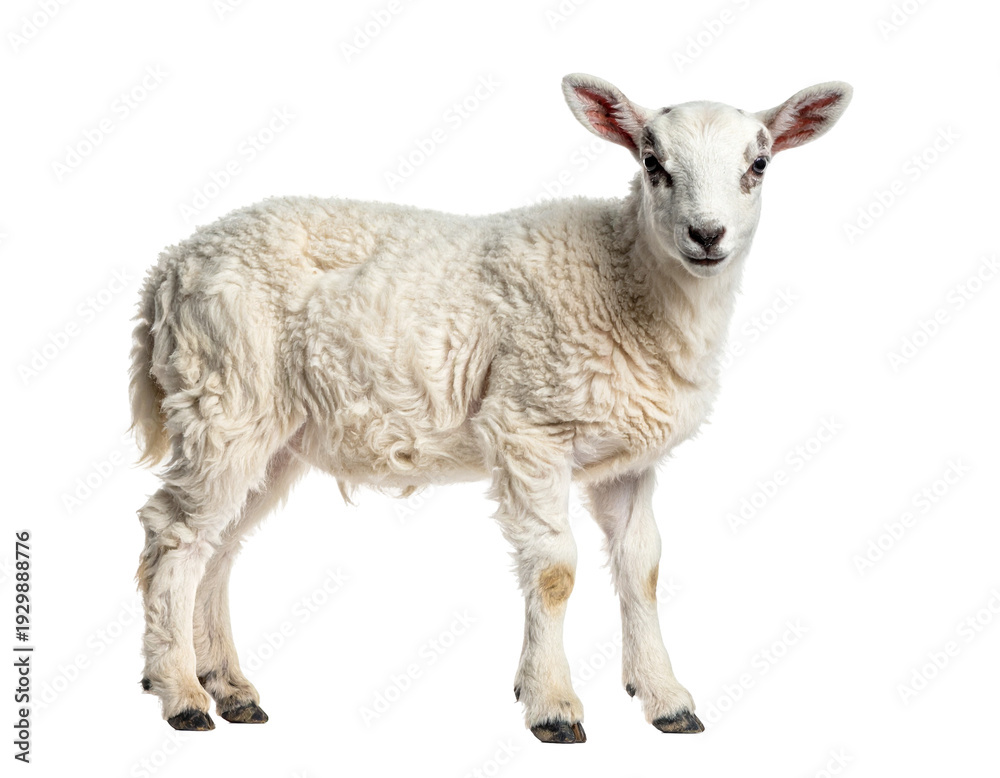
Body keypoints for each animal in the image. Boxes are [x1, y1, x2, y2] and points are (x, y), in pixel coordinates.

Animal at [130, 72, 852, 741]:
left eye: (759, 165)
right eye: (653, 163)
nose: (707, 235)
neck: (626, 279)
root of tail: (170, 267)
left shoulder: (628, 459)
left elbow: (642, 567)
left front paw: (665, 698)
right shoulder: (528, 426)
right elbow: (556, 570)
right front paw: (552, 704)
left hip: (273, 430)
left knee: (219, 546)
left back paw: (229, 687)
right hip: (224, 394)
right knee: (176, 537)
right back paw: (181, 693)